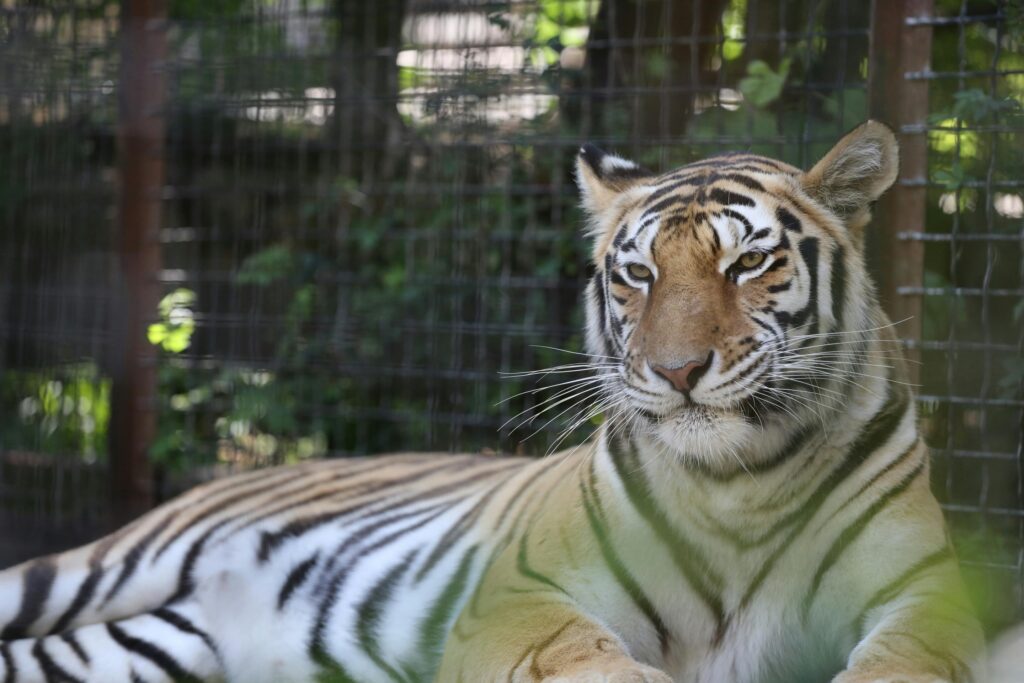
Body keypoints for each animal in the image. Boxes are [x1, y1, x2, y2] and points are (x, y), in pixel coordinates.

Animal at [0, 122, 987, 683]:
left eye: (748, 263)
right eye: (638, 273)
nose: (676, 369)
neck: (743, 479)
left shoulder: (924, 595)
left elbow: (906, 664)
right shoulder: (522, 594)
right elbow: (585, 660)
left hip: (143, 646)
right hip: (95, 570)